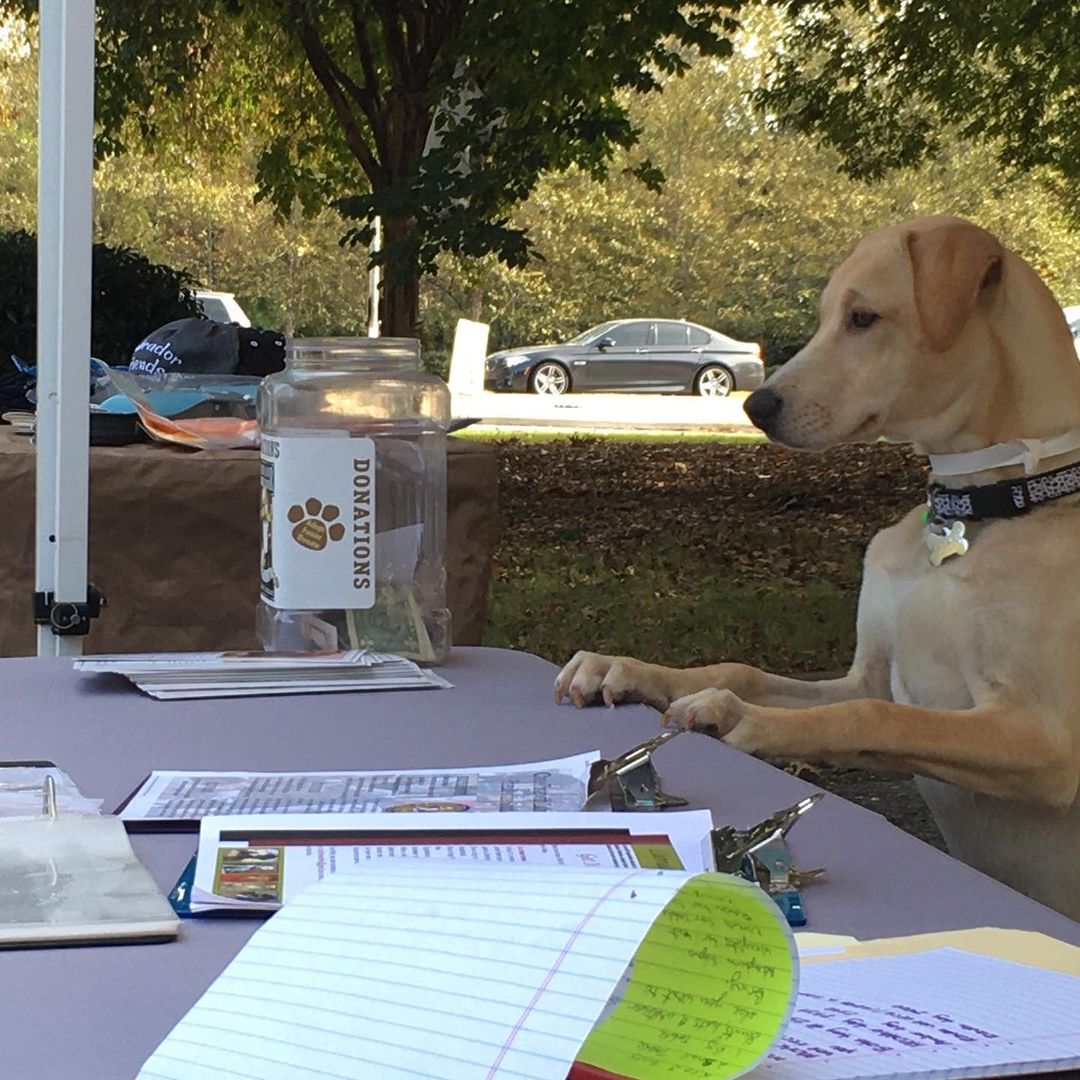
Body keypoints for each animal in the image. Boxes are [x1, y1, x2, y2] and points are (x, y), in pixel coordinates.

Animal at [557, 214, 1080, 915]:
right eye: (827, 315)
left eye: (864, 318)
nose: (755, 408)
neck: (976, 512)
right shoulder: (867, 677)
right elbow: (753, 673)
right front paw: (631, 669)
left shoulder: (1045, 743)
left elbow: (875, 716)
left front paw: (743, 717)